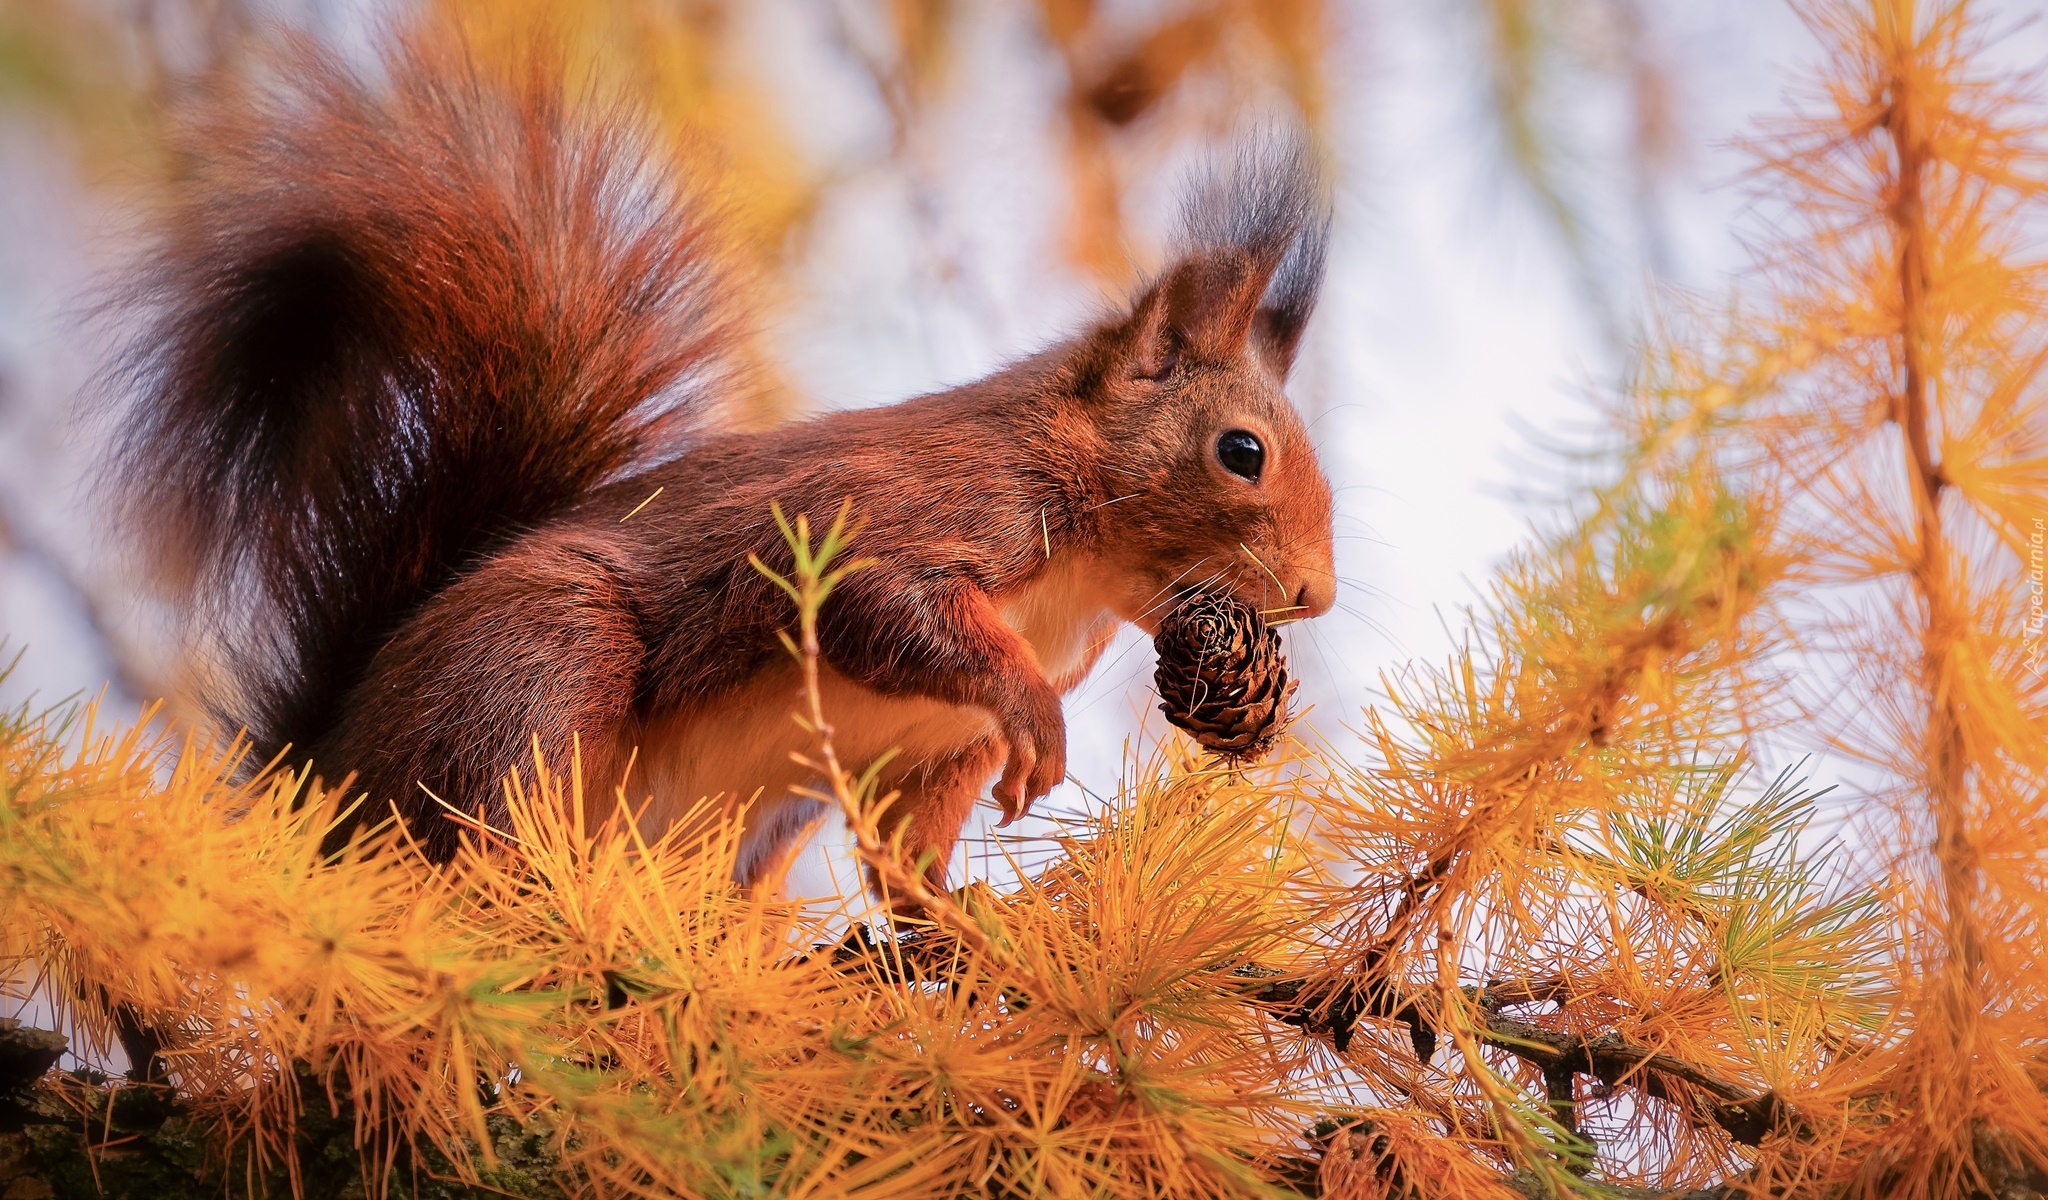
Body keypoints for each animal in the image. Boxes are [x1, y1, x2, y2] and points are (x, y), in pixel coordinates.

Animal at [108, 30, 1343, 888]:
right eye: (1241, 452)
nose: (1314, 598)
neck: (1082, 578)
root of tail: (321, 775)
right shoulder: (910, 510)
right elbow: (883, 605)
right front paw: (1035, 719)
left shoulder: (931, 754)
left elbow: (903, 854)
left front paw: (958, 926)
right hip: (536, 663)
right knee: (482, 811)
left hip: (735, 832)